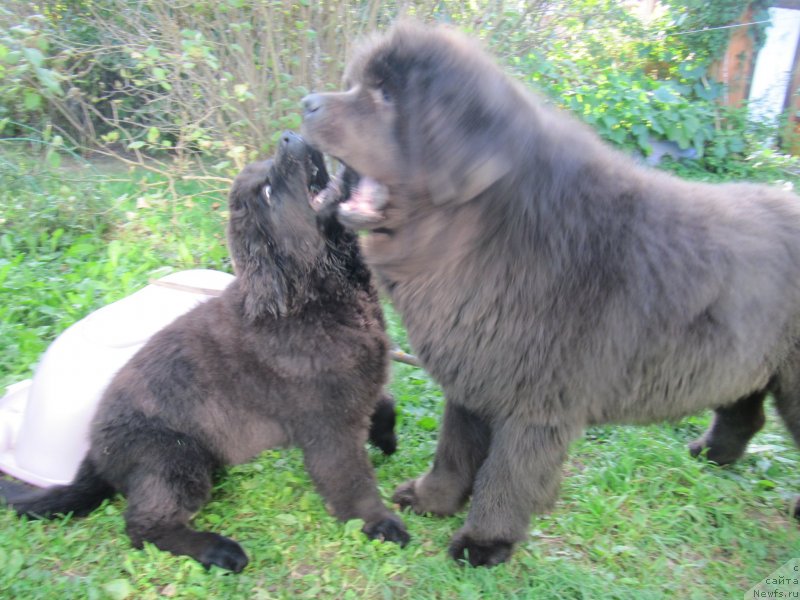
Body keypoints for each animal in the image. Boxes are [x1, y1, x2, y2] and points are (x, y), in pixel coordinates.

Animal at [0, 131, 406, 572]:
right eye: (267, 191)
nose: (290, 135)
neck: (315, 294)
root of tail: (95, 453)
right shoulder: (328, 425)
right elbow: (352, 481)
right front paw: (380, 524)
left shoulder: (360, 383)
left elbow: (385, 404)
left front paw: (387, 438)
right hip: (173, 460)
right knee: (143, 527)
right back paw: (220, 550)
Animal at [304, 22, 800, 568]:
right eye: (354, 85)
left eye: (386, 95)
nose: (307, 102)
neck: (481, 233)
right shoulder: (473, 375)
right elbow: (453, 449)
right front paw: (432, 500)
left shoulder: (535, 400)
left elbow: (508, 472)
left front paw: (483, 543)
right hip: (746, 362)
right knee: (745, 412)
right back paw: (712, 456)